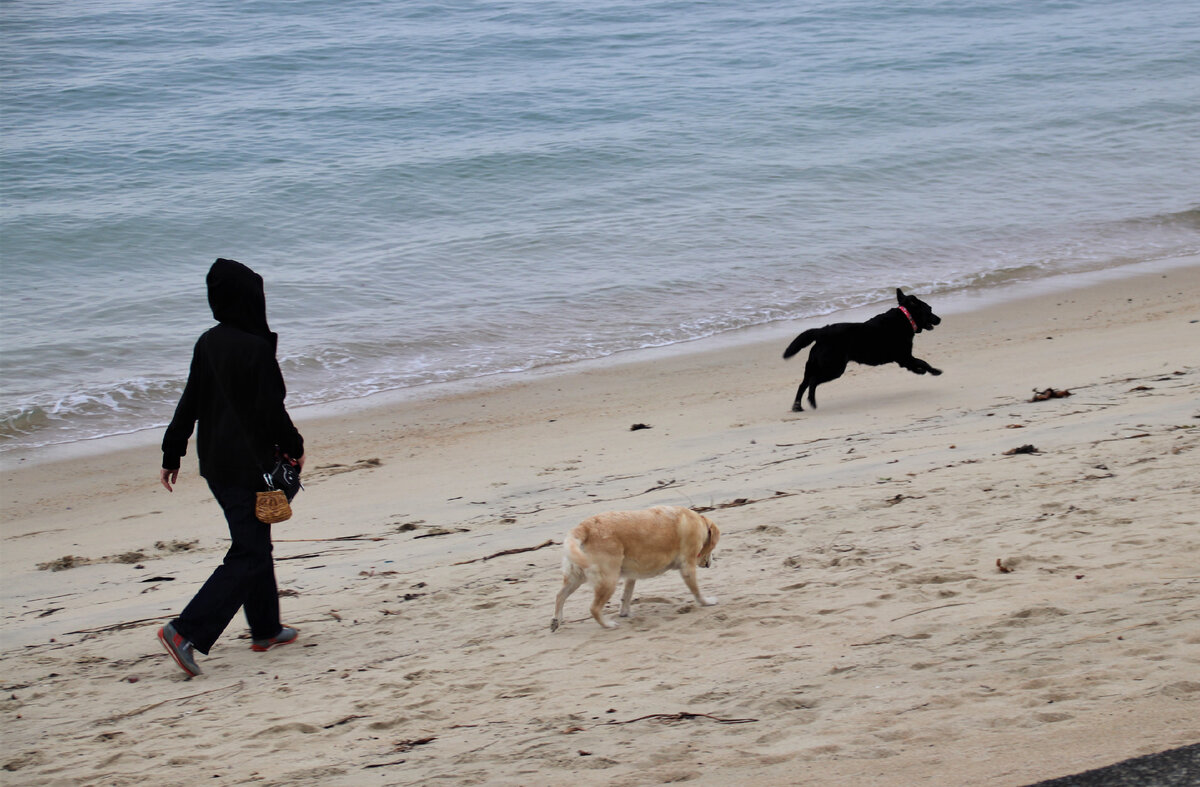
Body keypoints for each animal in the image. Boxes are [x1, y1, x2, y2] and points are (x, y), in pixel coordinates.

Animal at [552, 506, 720, 628]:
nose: (711, 562)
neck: (699, 523)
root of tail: (584, 527)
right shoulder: (687, 567)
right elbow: (696, 591)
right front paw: (706, 602)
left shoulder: (631, 576)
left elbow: (626, 595)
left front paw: (625, 613)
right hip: (608, 579)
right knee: (594, 608)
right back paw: (608, 624)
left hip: (576, 576)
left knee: (560, 595)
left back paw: (556, 620)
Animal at [782, 287, 940, 412]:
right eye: (930, 309)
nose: (939, 319)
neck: (906, 318)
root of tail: (822, 331)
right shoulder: (905, 356)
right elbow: (923, 362)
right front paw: (935, 371)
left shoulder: (904, 359)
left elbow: (916, 365)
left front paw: (921, 371)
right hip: (833, 368)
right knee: (813, 382)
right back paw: (812, 402)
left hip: (813, 366)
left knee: (803, 384)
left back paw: (797, 406)